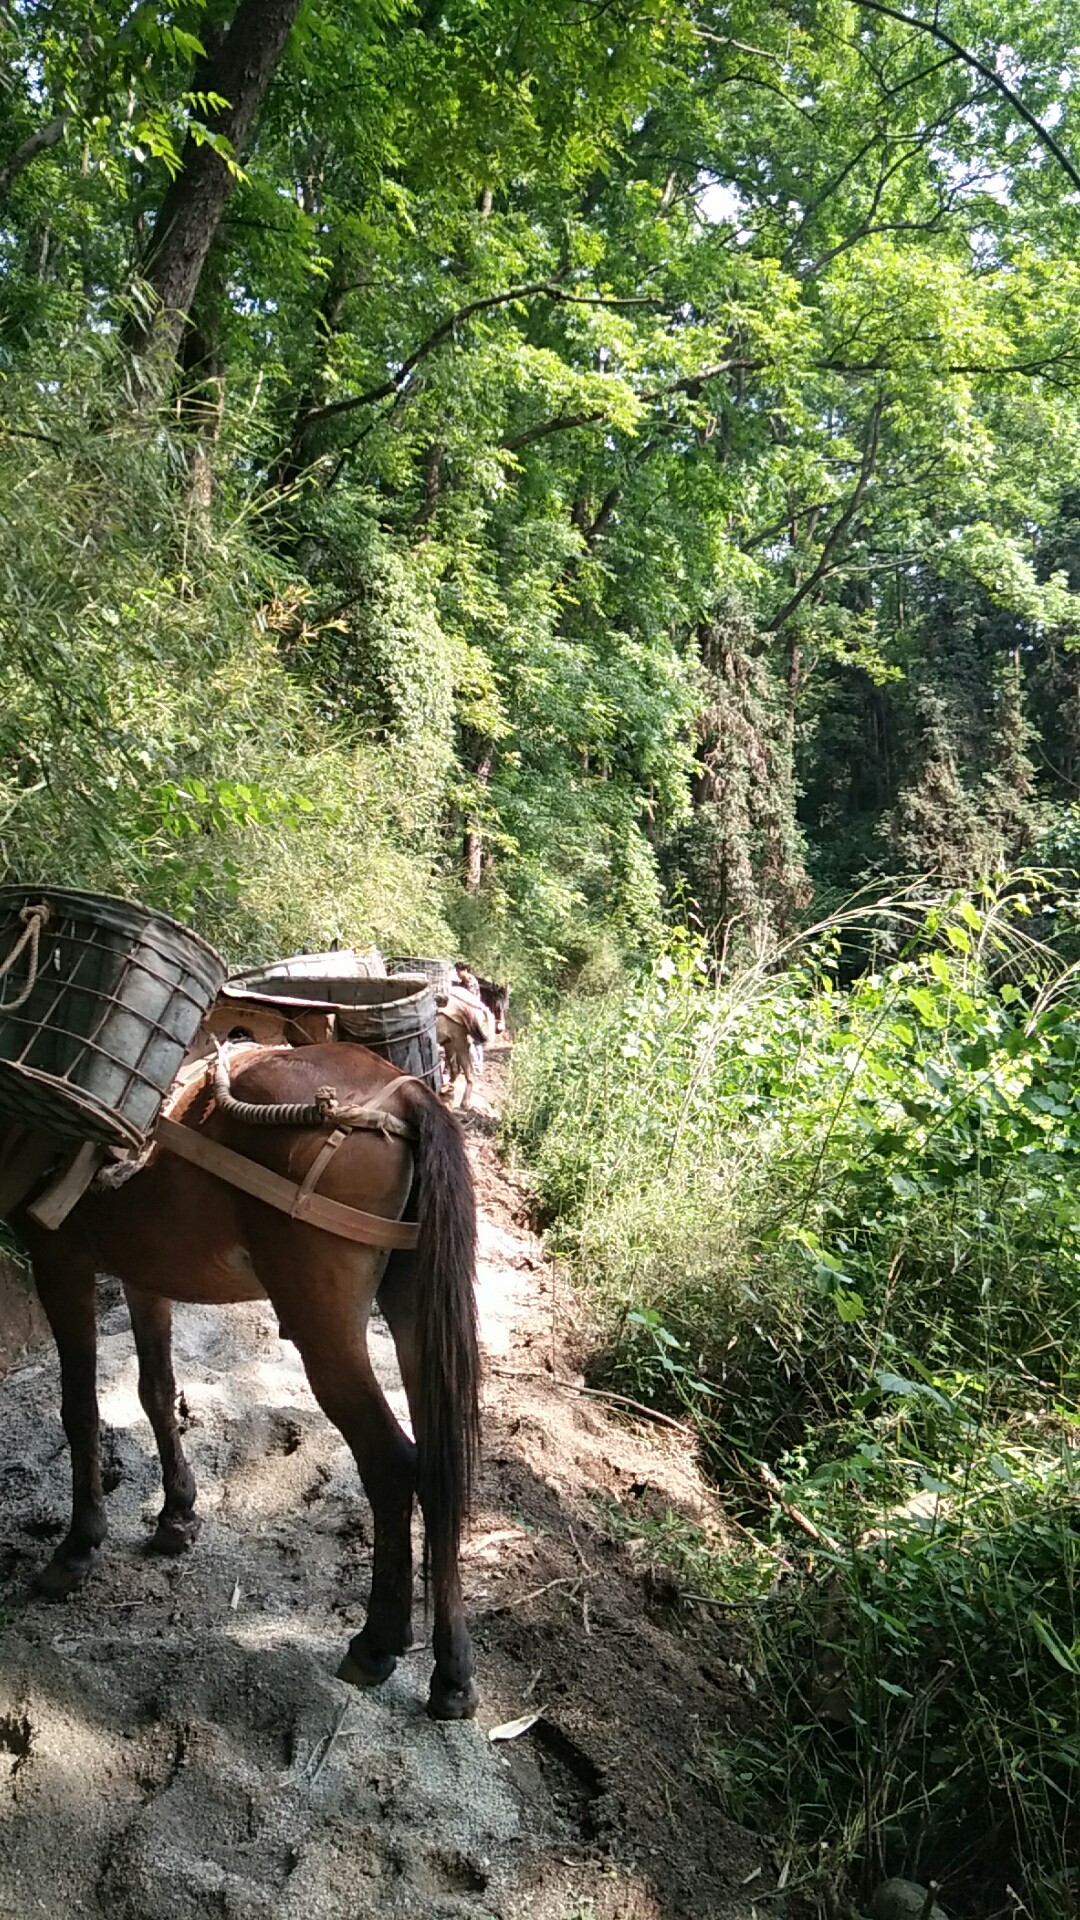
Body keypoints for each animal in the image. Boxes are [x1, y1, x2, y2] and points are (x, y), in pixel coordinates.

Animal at [2, 1041, 481, 1720]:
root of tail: (406, 1092)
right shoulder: (143, 1272)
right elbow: (155, 1391)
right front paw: (176, 1516)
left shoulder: (57, 1258)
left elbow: (80, 1409)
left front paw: (78, 1546)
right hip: (415, 1308)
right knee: (439, 1465)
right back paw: (452, 1676)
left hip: (324, 1329)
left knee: (392, 1463)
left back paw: (376, 1644)